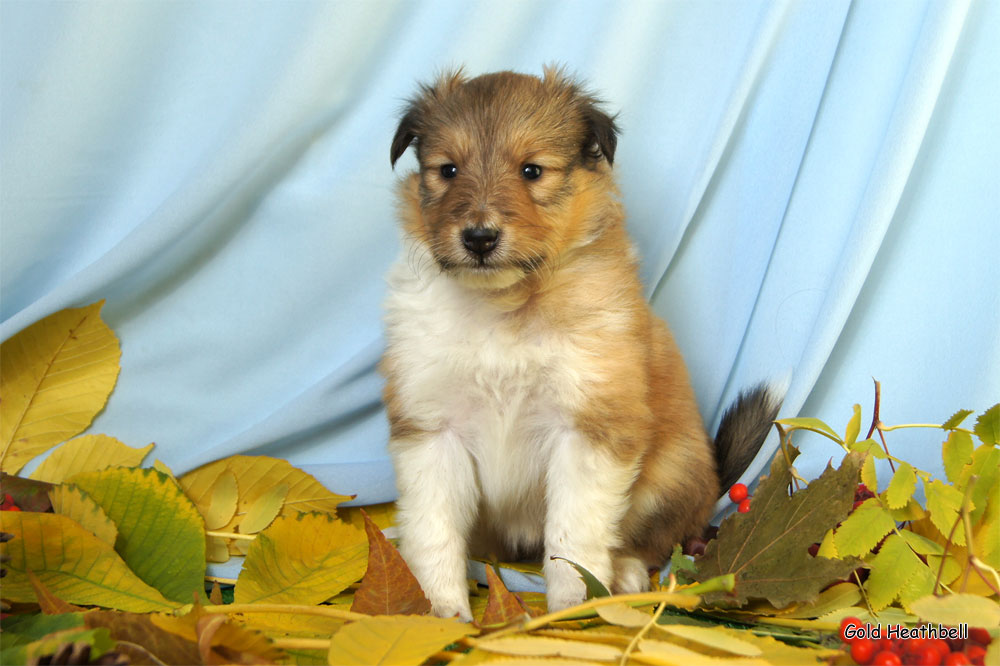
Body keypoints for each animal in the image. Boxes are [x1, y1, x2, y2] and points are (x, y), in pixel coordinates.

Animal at [378, 67, 776, 616]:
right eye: (448, 170)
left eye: (532, 171)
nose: (479, 238)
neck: (504, 307)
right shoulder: (432, 428)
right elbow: (433, 528)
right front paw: (438, 610)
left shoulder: (590, 428)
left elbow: (573, 536)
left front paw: (574, 605)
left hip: (670, 473)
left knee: (652, 541)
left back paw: (626, 574)